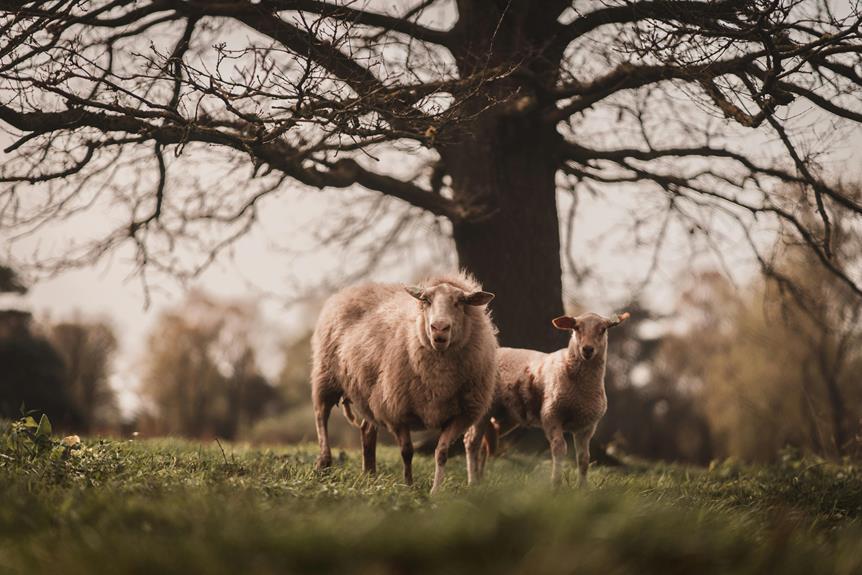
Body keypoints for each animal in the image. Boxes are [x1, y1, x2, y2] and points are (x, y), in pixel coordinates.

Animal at [310, 274, 500, 496]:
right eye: (426, 300)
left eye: (460, 302)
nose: (439, 328)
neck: (439, 379)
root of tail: (352, 289)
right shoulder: (396, 410)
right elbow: (407, 452)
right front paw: (408, 486)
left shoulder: (459, 416)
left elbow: (441, 452)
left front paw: (435, 491)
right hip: (326, 375)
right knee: (321, 415)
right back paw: (324, 462)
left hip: (372, 393)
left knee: (367, 429)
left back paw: (370, 474)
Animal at [470, 312, 632, 488]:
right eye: (576, 328)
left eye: (603, 329)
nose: (587, 349)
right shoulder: (551, 415)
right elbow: (559, 448)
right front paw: (556, 484)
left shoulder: (587, 426)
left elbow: (584, 458)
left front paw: (582, 488)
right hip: (482, 407)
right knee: (472, 442)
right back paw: (472, 481)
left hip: (507, 415)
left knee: (485, 443)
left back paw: (481, 480)